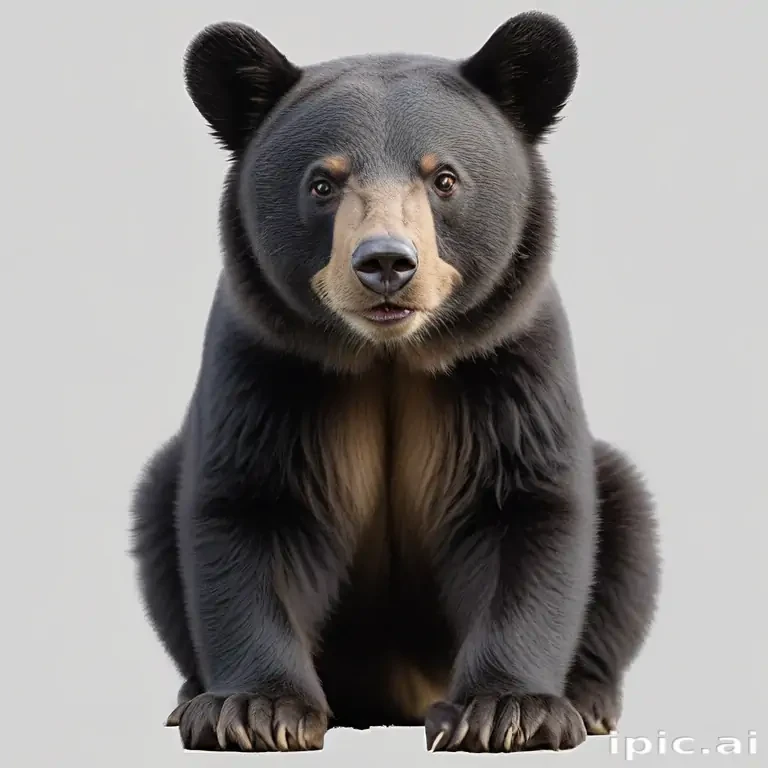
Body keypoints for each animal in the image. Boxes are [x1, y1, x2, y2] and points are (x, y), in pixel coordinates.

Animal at [129, 10, 661, 754]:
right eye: (322, 183)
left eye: (444, 179)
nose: (385, 262)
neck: (390, 359)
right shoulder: (265, 362)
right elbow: (252, 510)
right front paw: (255, 710)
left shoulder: (509, 362)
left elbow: (523, 509)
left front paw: (506, 710)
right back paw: (189, 697)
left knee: (627, 522)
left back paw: (586, 697)